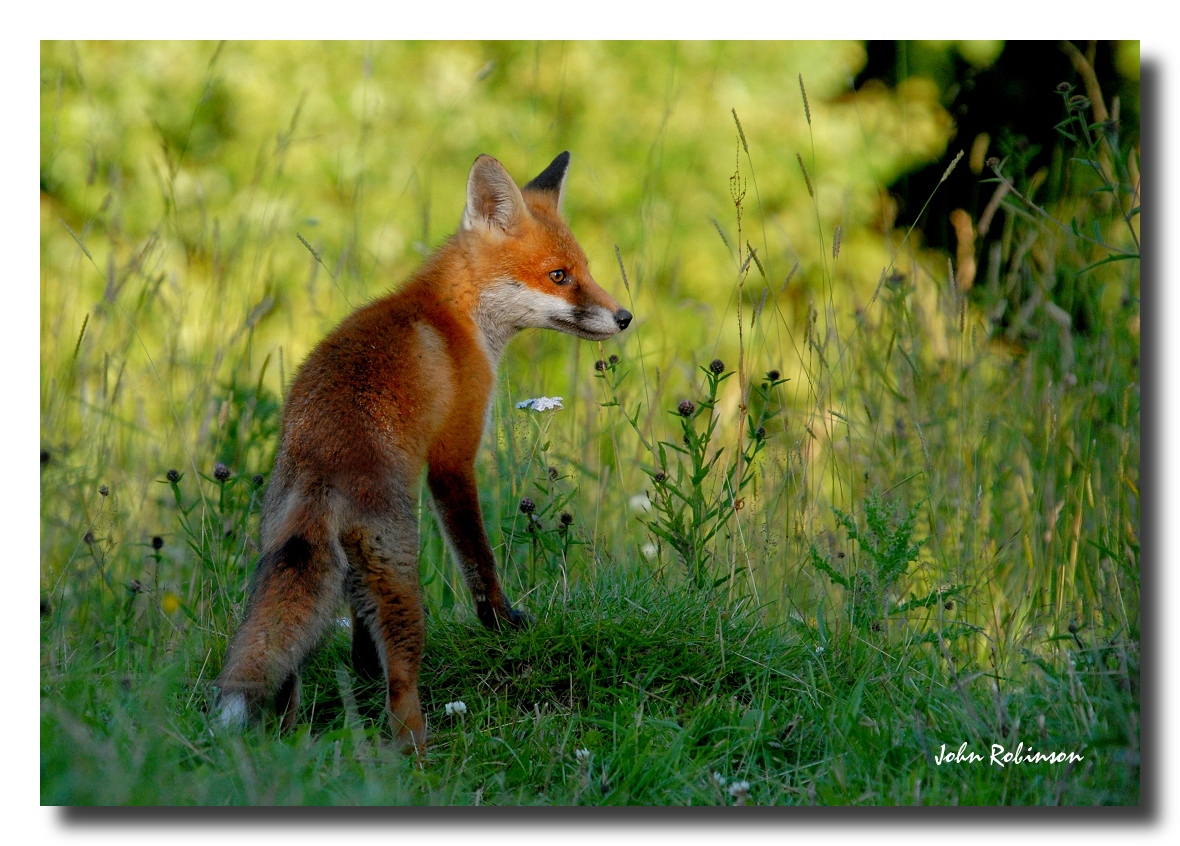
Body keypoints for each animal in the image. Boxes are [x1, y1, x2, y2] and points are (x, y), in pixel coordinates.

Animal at [213, 151, 631, 752]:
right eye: (559, 276)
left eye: (586, 270)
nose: (625, 317)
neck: (457, 315)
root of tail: (319, 464)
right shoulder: (453, 457)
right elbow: (478, 559)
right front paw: (502, 624)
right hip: (401, 582)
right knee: (402, 688)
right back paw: (416, 752)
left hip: (299, 566)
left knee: (289, 667)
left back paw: (290, 743)